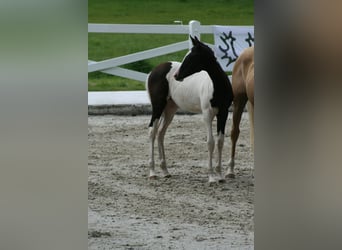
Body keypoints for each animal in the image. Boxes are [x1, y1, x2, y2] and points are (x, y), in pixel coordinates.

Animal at [146, 36, 234, 183]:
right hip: (158, 107)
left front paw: (220, 176)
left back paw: (165, 171)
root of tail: (153, 71)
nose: (176, 75)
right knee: (152, 132)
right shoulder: (207, 114)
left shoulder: (223, 113)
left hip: (170, 110)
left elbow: (220, 141)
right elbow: (210, 142)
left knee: (160, 133)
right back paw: (152, 172)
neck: (217, 87)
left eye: (192, 57)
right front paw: (211, 177)